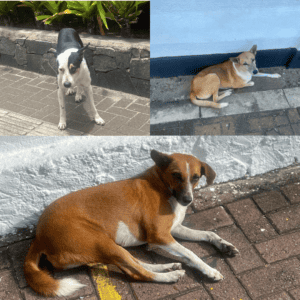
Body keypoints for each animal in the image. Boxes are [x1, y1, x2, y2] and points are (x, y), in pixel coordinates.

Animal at [24, 150, 239, 298]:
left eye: (195, 177)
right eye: (177, 175)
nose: (188, 200)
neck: (162, 185)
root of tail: (39, 237)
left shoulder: (174, 229)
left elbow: (208, 233)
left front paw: (225, 245)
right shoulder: (159, 236)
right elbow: (191, 253)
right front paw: (210, 271)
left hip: (106, 245)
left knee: (134, 261)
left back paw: (167, 267)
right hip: (101, 242)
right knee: (135, 272)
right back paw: (169, 276)